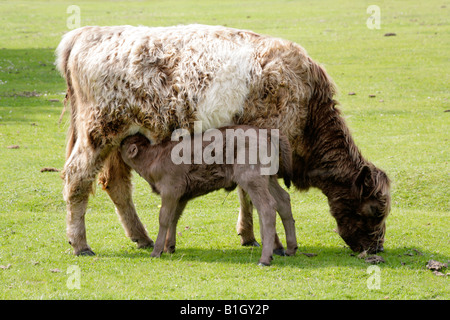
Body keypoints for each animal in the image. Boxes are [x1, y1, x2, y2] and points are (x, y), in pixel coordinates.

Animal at [54, 23, 388, 258]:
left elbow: (246, 195)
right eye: (374, 210)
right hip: (98, 134)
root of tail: (87, 33)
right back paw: (80, 244)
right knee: (77, 178)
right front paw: (272, 242)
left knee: (115, 185)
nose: (376, 249)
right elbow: (258, 196)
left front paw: (249, 236)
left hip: (118, 139)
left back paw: (143, 237)